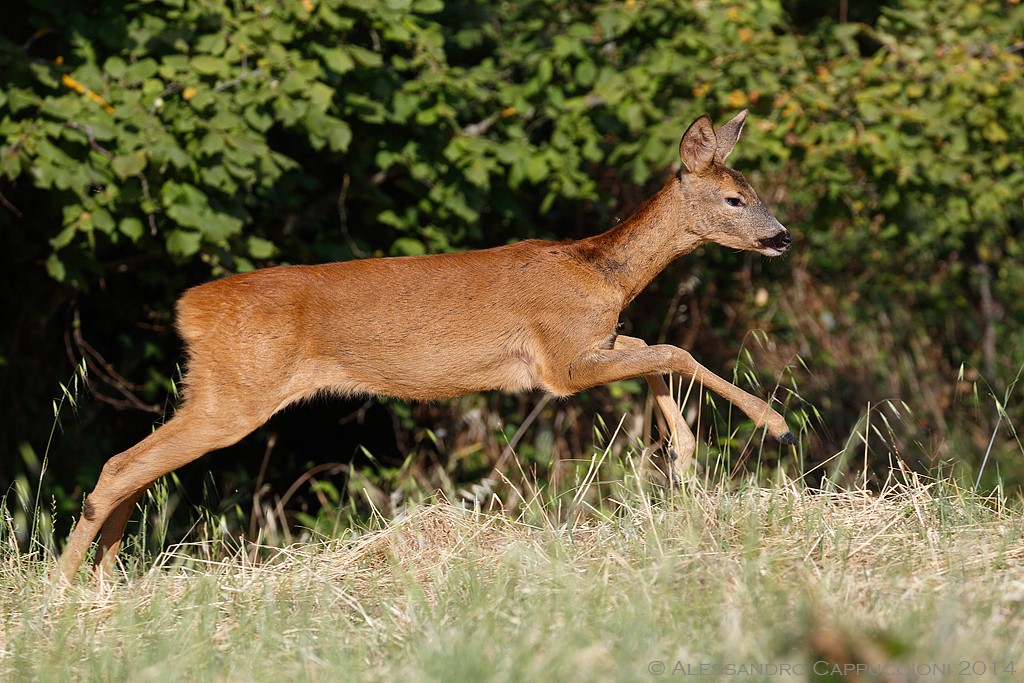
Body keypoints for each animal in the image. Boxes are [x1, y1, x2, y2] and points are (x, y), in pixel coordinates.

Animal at [56, 111, 794, 581]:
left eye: (756, 192)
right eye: (734, 199)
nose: (783, 235)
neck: (601, 272)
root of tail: (189, 308)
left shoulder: (592, 343)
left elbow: (655, 350)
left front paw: (687, 457)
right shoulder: (558, 360)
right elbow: (671, 349)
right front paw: (772, 424)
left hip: (213, 388)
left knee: (135, 468)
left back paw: (102, 582)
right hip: (237, 392)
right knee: (121, 466)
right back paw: (65, 589)